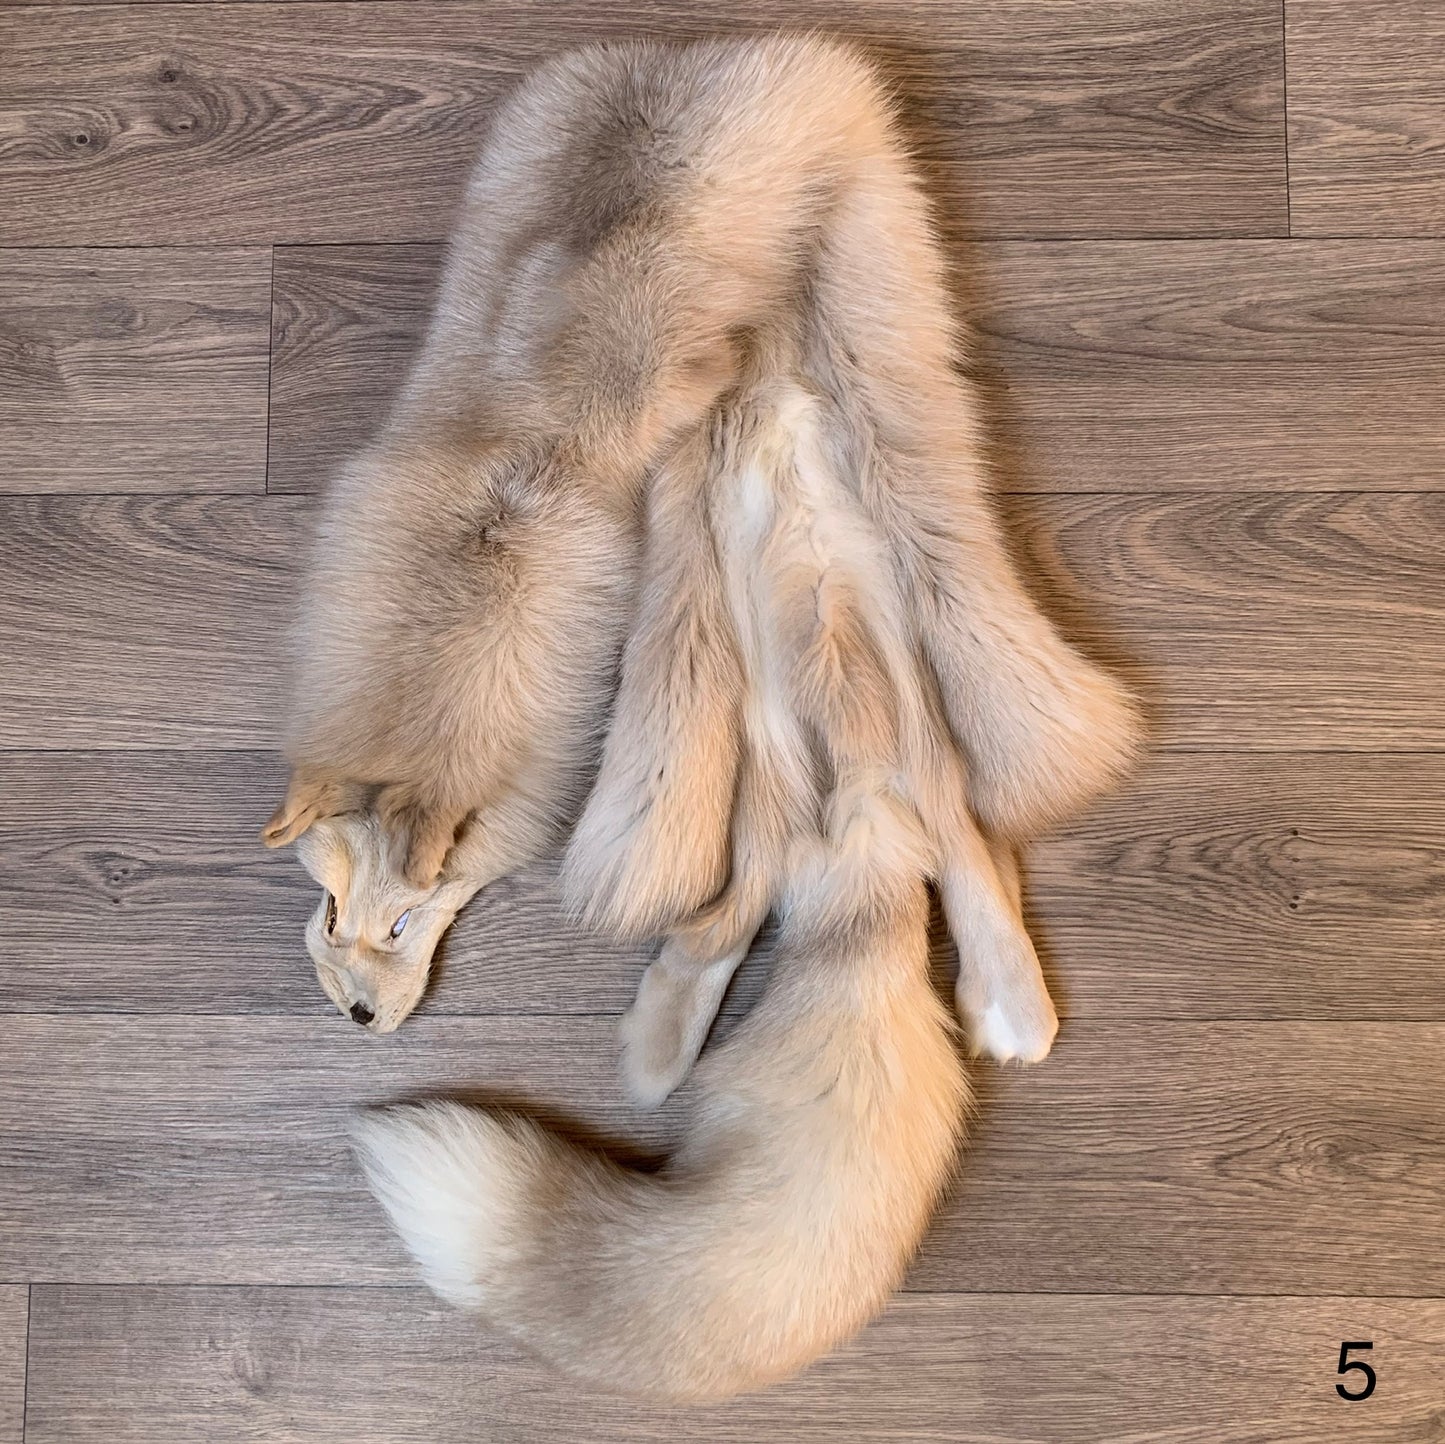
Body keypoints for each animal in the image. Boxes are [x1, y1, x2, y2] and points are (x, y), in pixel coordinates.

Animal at [265, 35, 1140, 1397]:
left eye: (405, 923)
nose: (357, 1022)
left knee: (941, 813)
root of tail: (691, 47)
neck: (488, 525)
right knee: (904, 835)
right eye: (325, 914)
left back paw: (995, 993)